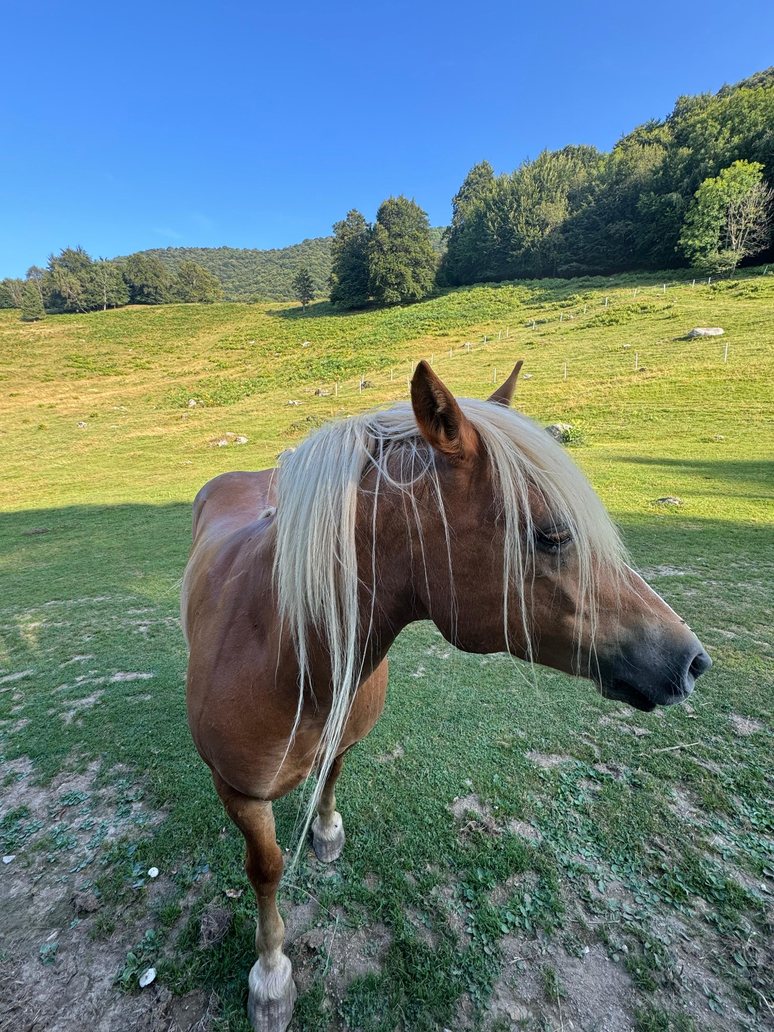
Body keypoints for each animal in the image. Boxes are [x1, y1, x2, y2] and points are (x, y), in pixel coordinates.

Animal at [181, 360, 711, 1032]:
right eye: (551, 535)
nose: (692, 661)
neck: (284, 654)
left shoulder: (344, 738)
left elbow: (331, 777)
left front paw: (326, 833)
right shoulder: (240, 792)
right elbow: (267, 869)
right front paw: (271, 976)